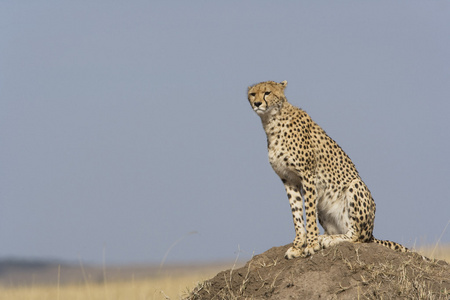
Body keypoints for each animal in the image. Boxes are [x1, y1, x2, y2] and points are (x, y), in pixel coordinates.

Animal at [246, 81, 408, 258]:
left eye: (267, 93)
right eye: (253, 94)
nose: (257, 103)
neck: (272, 121)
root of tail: (372, 234)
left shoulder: (308, 176)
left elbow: (309, 213)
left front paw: (311, 244)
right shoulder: (288, 180)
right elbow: (297, 214)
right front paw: (298, 246)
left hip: (355, 186)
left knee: (357, 235)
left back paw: (330, 239)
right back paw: (325, 236)